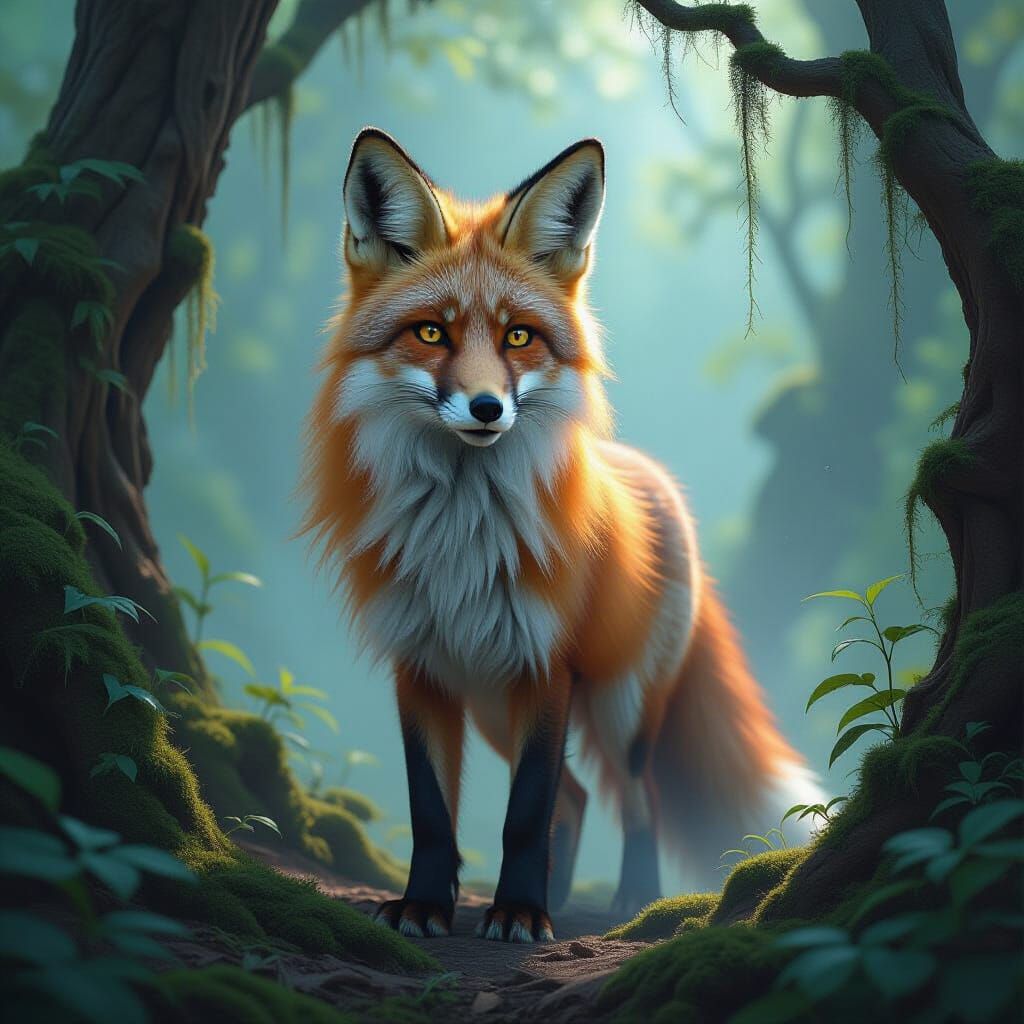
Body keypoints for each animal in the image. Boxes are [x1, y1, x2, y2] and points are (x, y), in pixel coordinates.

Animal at [302, 127, 822, 944]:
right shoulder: (420, 664)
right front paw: (426, 905)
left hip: (619, 706)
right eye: (431, 333)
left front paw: (519, 911)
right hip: (491, 703)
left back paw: (632, 903)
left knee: (637, 800)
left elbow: (525, 811)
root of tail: (651, 477)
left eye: (519, 336)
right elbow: (432, 812)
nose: (487, 408)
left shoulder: (547, 664)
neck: (461, 538)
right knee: (576, 799)